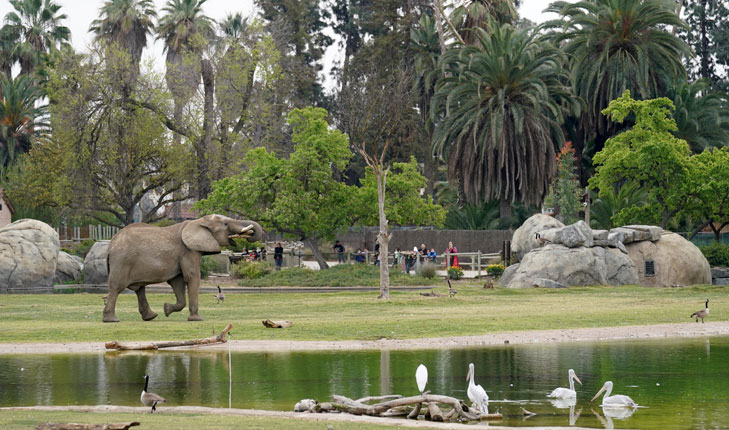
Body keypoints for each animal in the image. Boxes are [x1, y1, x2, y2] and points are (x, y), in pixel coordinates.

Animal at [101, 215, 262, 322]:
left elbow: (177, 282)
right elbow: (192, 277)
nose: (250, 235)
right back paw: (112, 320)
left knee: (139, 289)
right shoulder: (188, 251)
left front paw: (166, 309)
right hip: (122, 261)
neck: (198, 221)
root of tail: (111, 245)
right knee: (117, 287)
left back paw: (151, 317)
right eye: (226, 223)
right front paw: (197, 319)